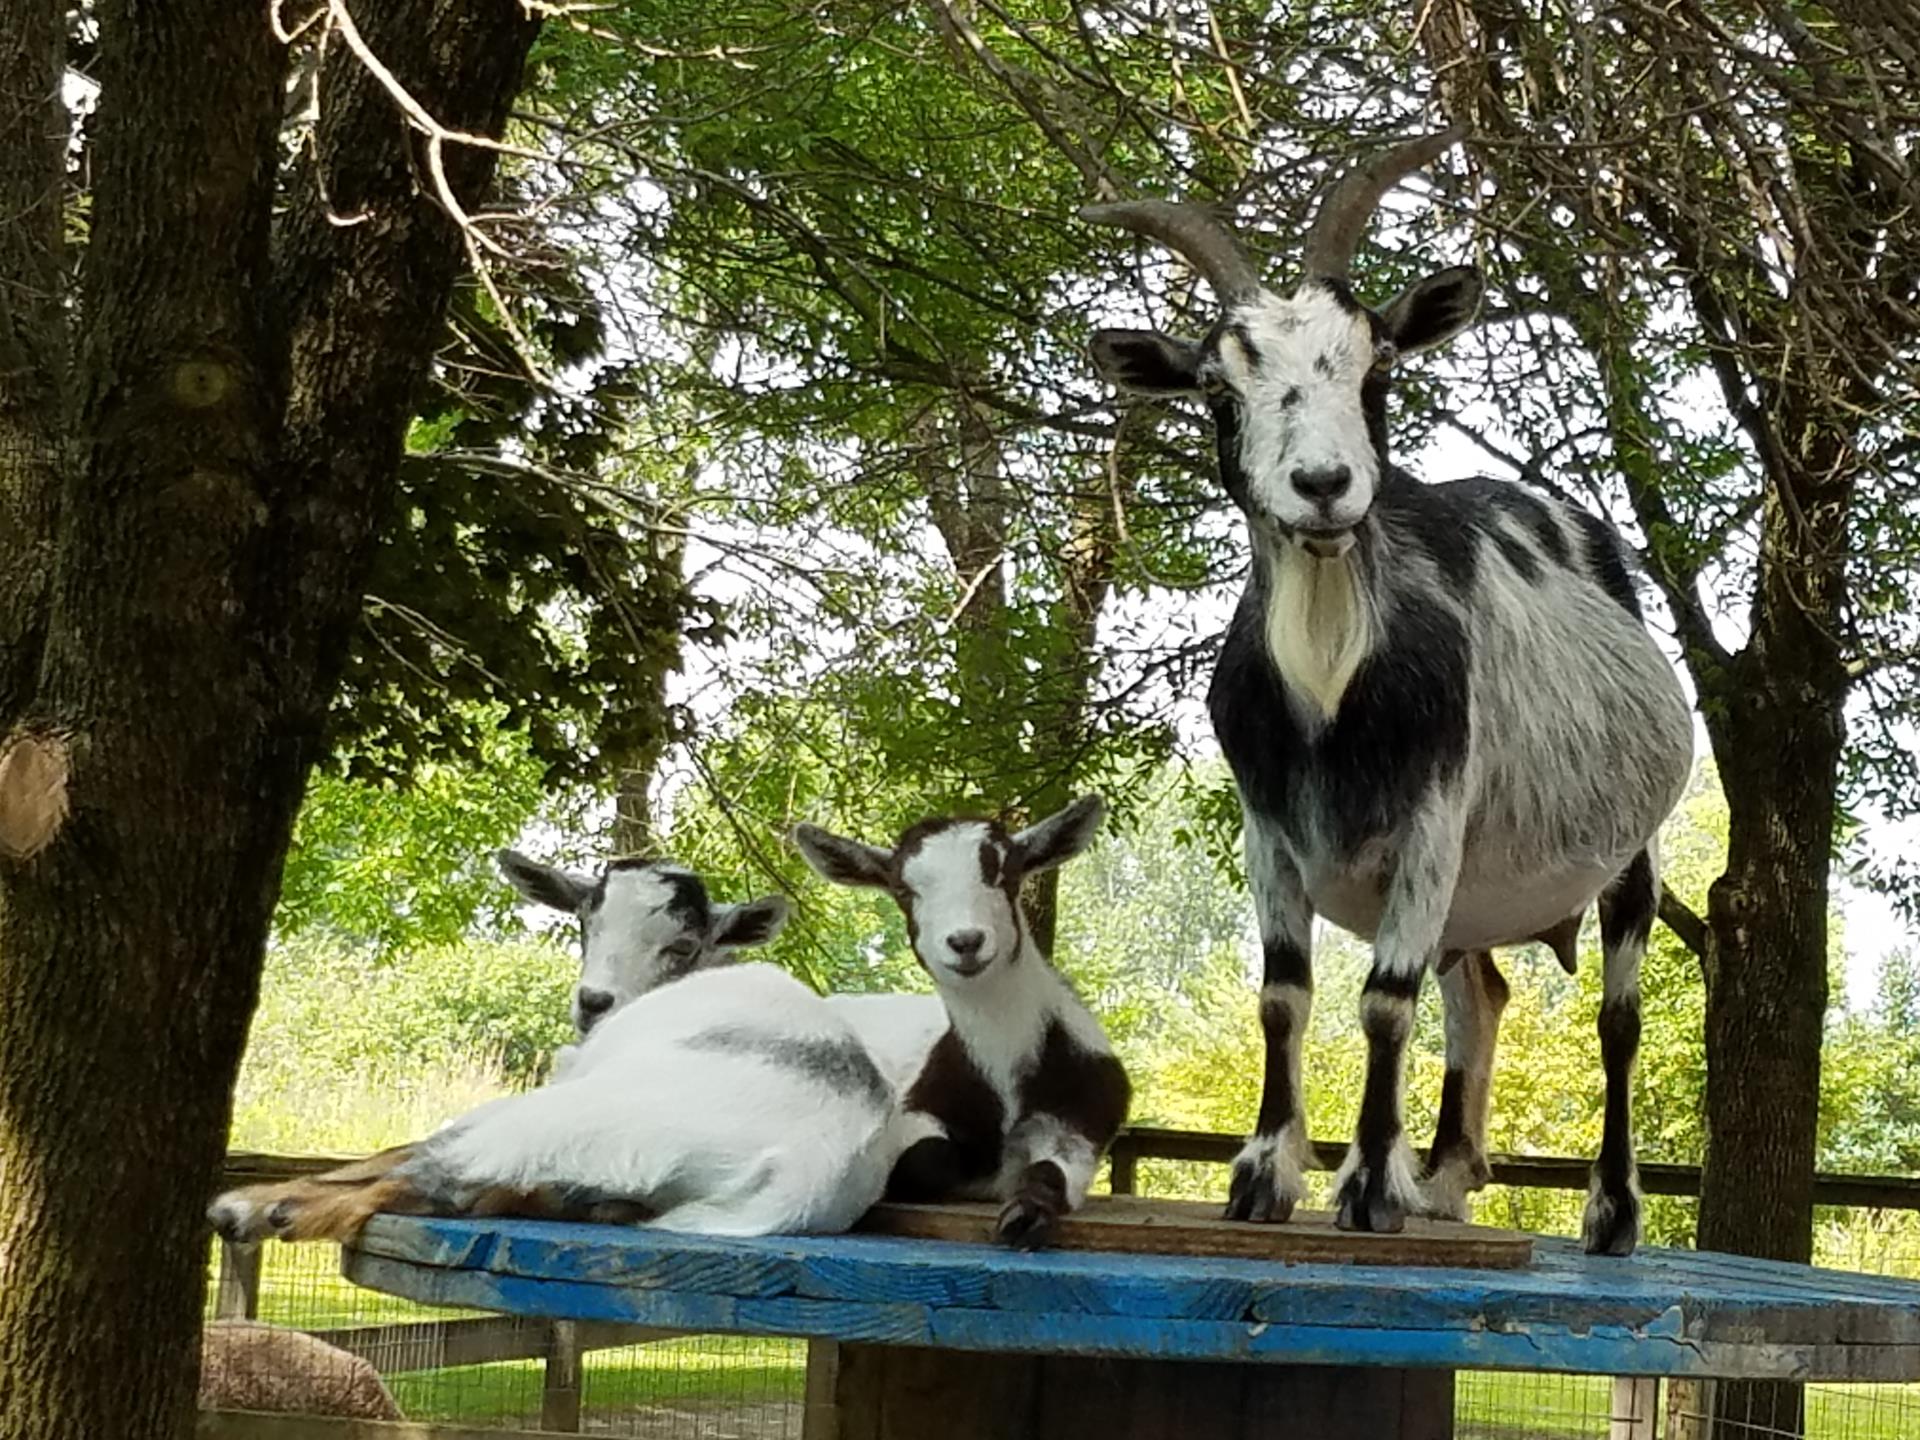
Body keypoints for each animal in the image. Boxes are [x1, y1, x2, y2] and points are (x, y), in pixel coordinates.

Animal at [793, 795, 1132, 1249]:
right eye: (903, 890)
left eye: (1006, 874)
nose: (965, 942)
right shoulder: (916, 1108)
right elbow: (928, 1159)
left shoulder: (1082, 1117)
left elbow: (1050, 1170)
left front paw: (1024, 1215)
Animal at [1081, 131, 1693, 1254]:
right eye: (1220, 390)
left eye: (1376, 369)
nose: (1326, 487)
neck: (1333, 698)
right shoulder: (1269, 833)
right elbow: (1285, 997)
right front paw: (1265, 1174)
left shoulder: (1431, 822)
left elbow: (1383, 1001)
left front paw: (1365, 1186)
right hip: (1479, 890)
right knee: (1480, 992)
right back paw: (1445, 1182)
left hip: (1633, 848)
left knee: (1616, 1016)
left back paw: (1609, 1211)